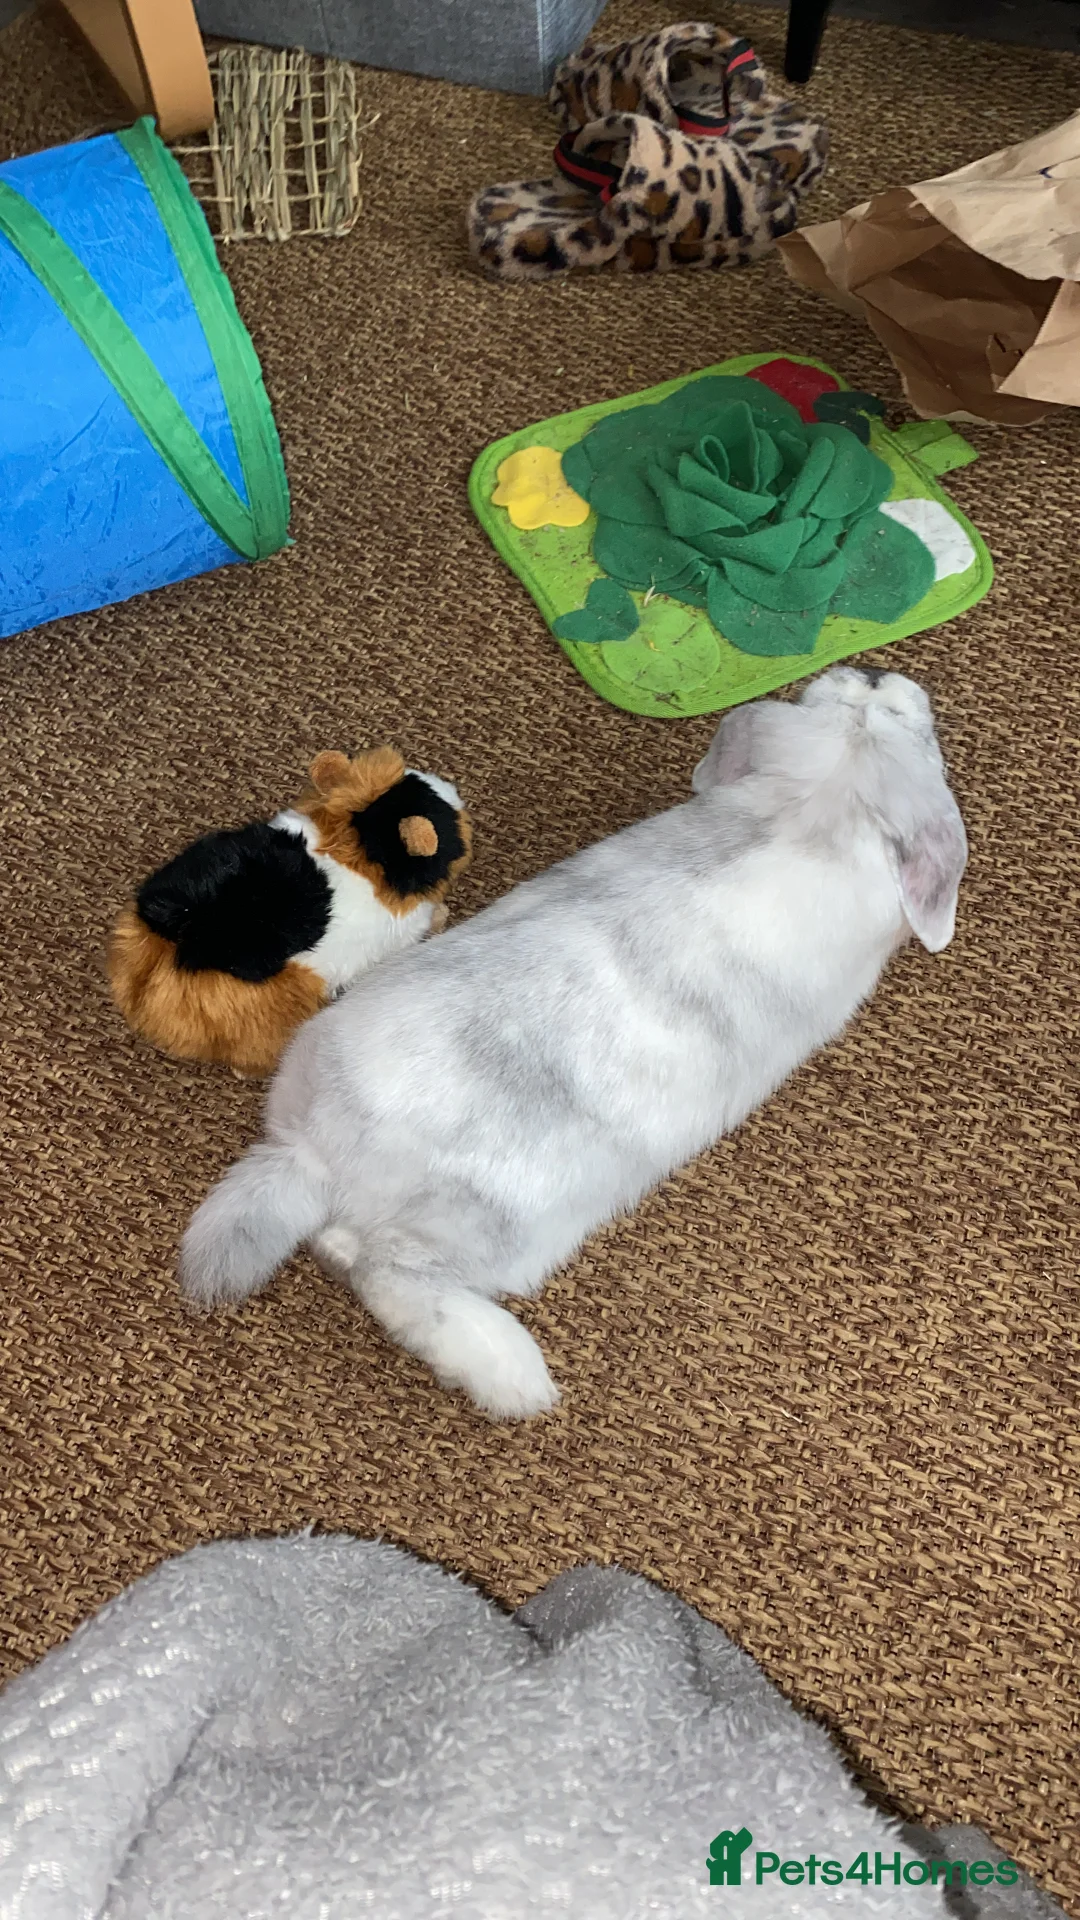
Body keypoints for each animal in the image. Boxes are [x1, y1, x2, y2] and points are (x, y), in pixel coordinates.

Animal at [179, 667, 967, 1418]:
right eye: (911, 728)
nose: (879, 676)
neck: (818, 804)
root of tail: (313, 1149)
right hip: (496, 1229)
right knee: (390, 1275)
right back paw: (513, 1376)